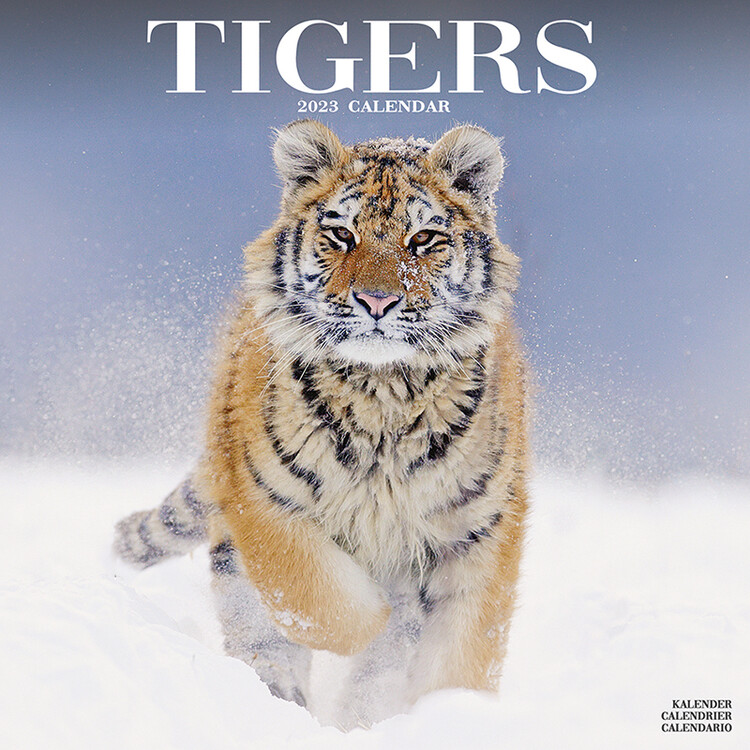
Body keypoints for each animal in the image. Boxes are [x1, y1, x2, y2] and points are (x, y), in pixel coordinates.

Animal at [114, 120, 529, 730]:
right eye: (341, 234)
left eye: (423, 238)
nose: (376, 301)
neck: (384, 394)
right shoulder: (264, 500)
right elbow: (325, 602)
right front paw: (377, 620)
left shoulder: (480, 526)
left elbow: (467, 646)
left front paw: (454, 712)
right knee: (262, 631)